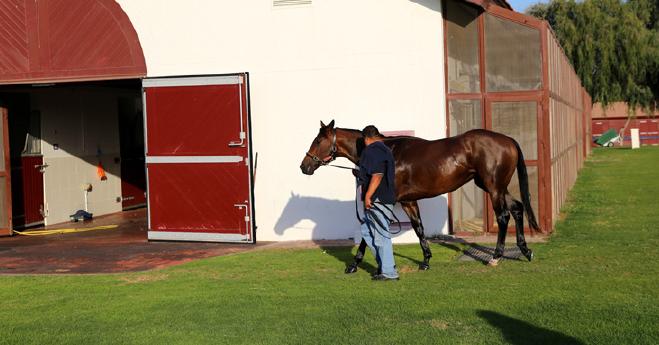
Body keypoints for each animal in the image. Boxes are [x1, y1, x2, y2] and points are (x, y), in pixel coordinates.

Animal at [302, 119, 540, 270]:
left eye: (318, 141)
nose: (304, 166)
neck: (387, 154)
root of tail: (508, 140)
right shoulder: (408, 201)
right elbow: (419, 228)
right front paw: (426, 260)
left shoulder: (384, 202)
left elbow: (371, 230)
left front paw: (354, 264)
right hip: (496, 187)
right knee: (517, 208)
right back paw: (525, 251)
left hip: (494, 188)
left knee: (503, 217)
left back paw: (496, 257)